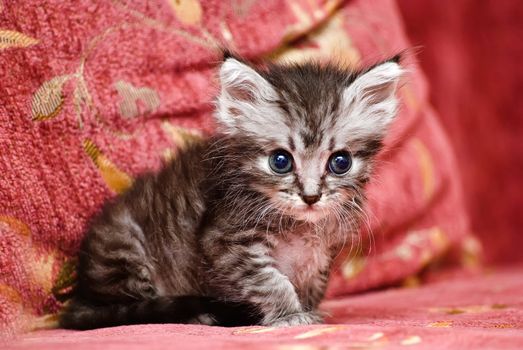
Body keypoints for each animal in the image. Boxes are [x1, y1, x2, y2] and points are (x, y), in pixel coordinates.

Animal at [62, 53, 406, 330]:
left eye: (340, 162)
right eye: (280, 161)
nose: (310, 197)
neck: (301, 227)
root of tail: (80, 293)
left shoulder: (321, 255)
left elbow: (313, 284)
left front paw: (308, 309)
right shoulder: (225, 243)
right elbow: (272, 281)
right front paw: (289, 315)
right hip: (125, 248)